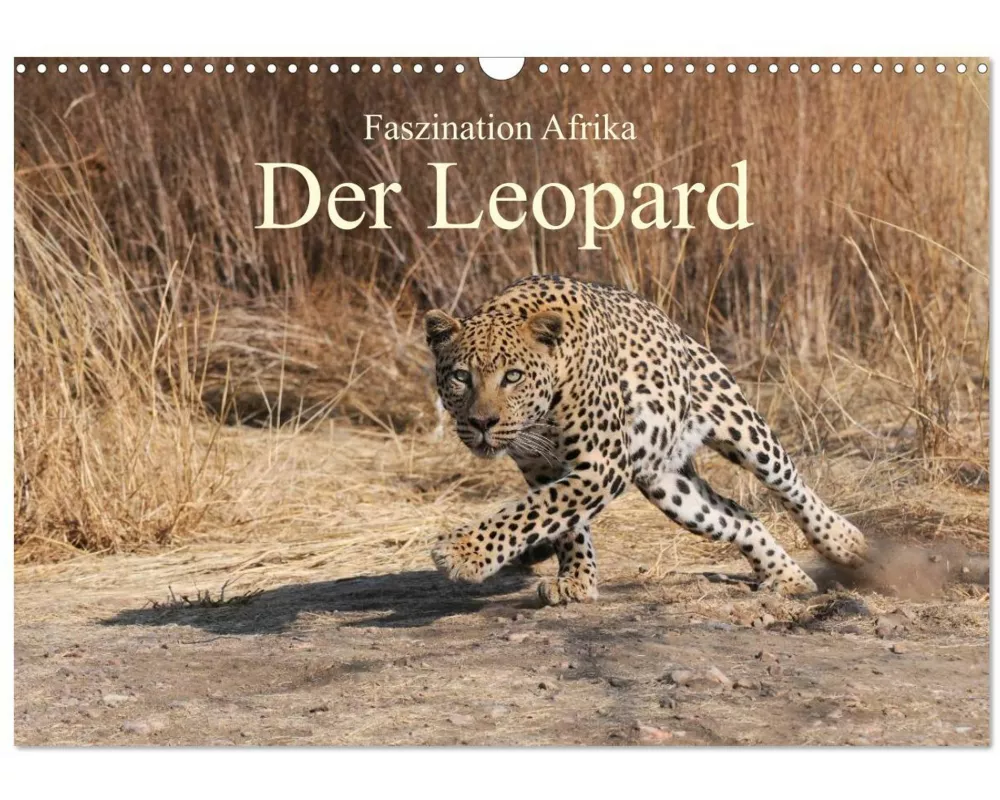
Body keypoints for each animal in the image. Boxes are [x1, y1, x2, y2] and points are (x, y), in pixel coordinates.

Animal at [425, 274, 867, 605]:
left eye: (513, 376)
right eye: (461, 377)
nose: (482, 421)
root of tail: (676, 329)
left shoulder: (602, 463)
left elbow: (534, 510)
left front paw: (464, 552)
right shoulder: (544, 468)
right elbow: (562, 522)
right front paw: (577, 580)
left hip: (740, 425)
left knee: (791, 484)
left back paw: (844, 542)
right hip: (670, 488)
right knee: (742, 518)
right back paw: (789, 579)